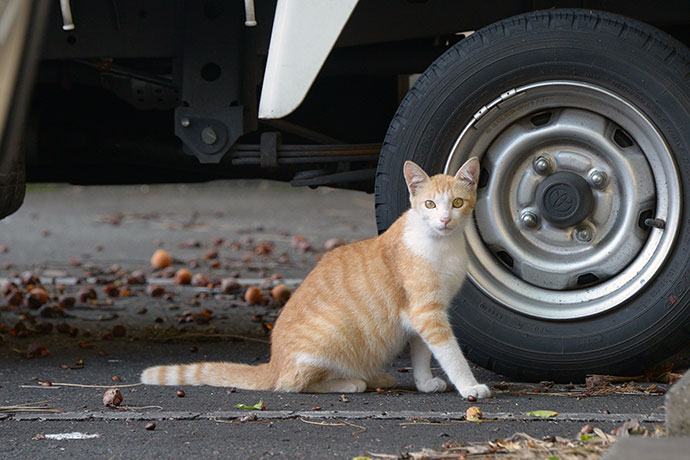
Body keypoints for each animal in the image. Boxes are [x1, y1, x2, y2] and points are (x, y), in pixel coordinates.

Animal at [141, 157, 490, 398]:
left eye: (457, 203)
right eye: (429, 204)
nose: (444, 220)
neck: (441, 245)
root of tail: (273, 365)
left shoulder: (421, 313)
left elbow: (421, 352)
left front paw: (424, 382)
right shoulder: (427, 312)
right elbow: (451, 353)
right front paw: (469, 386)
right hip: (333, 333)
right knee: (292, 384)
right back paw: (352, 381)